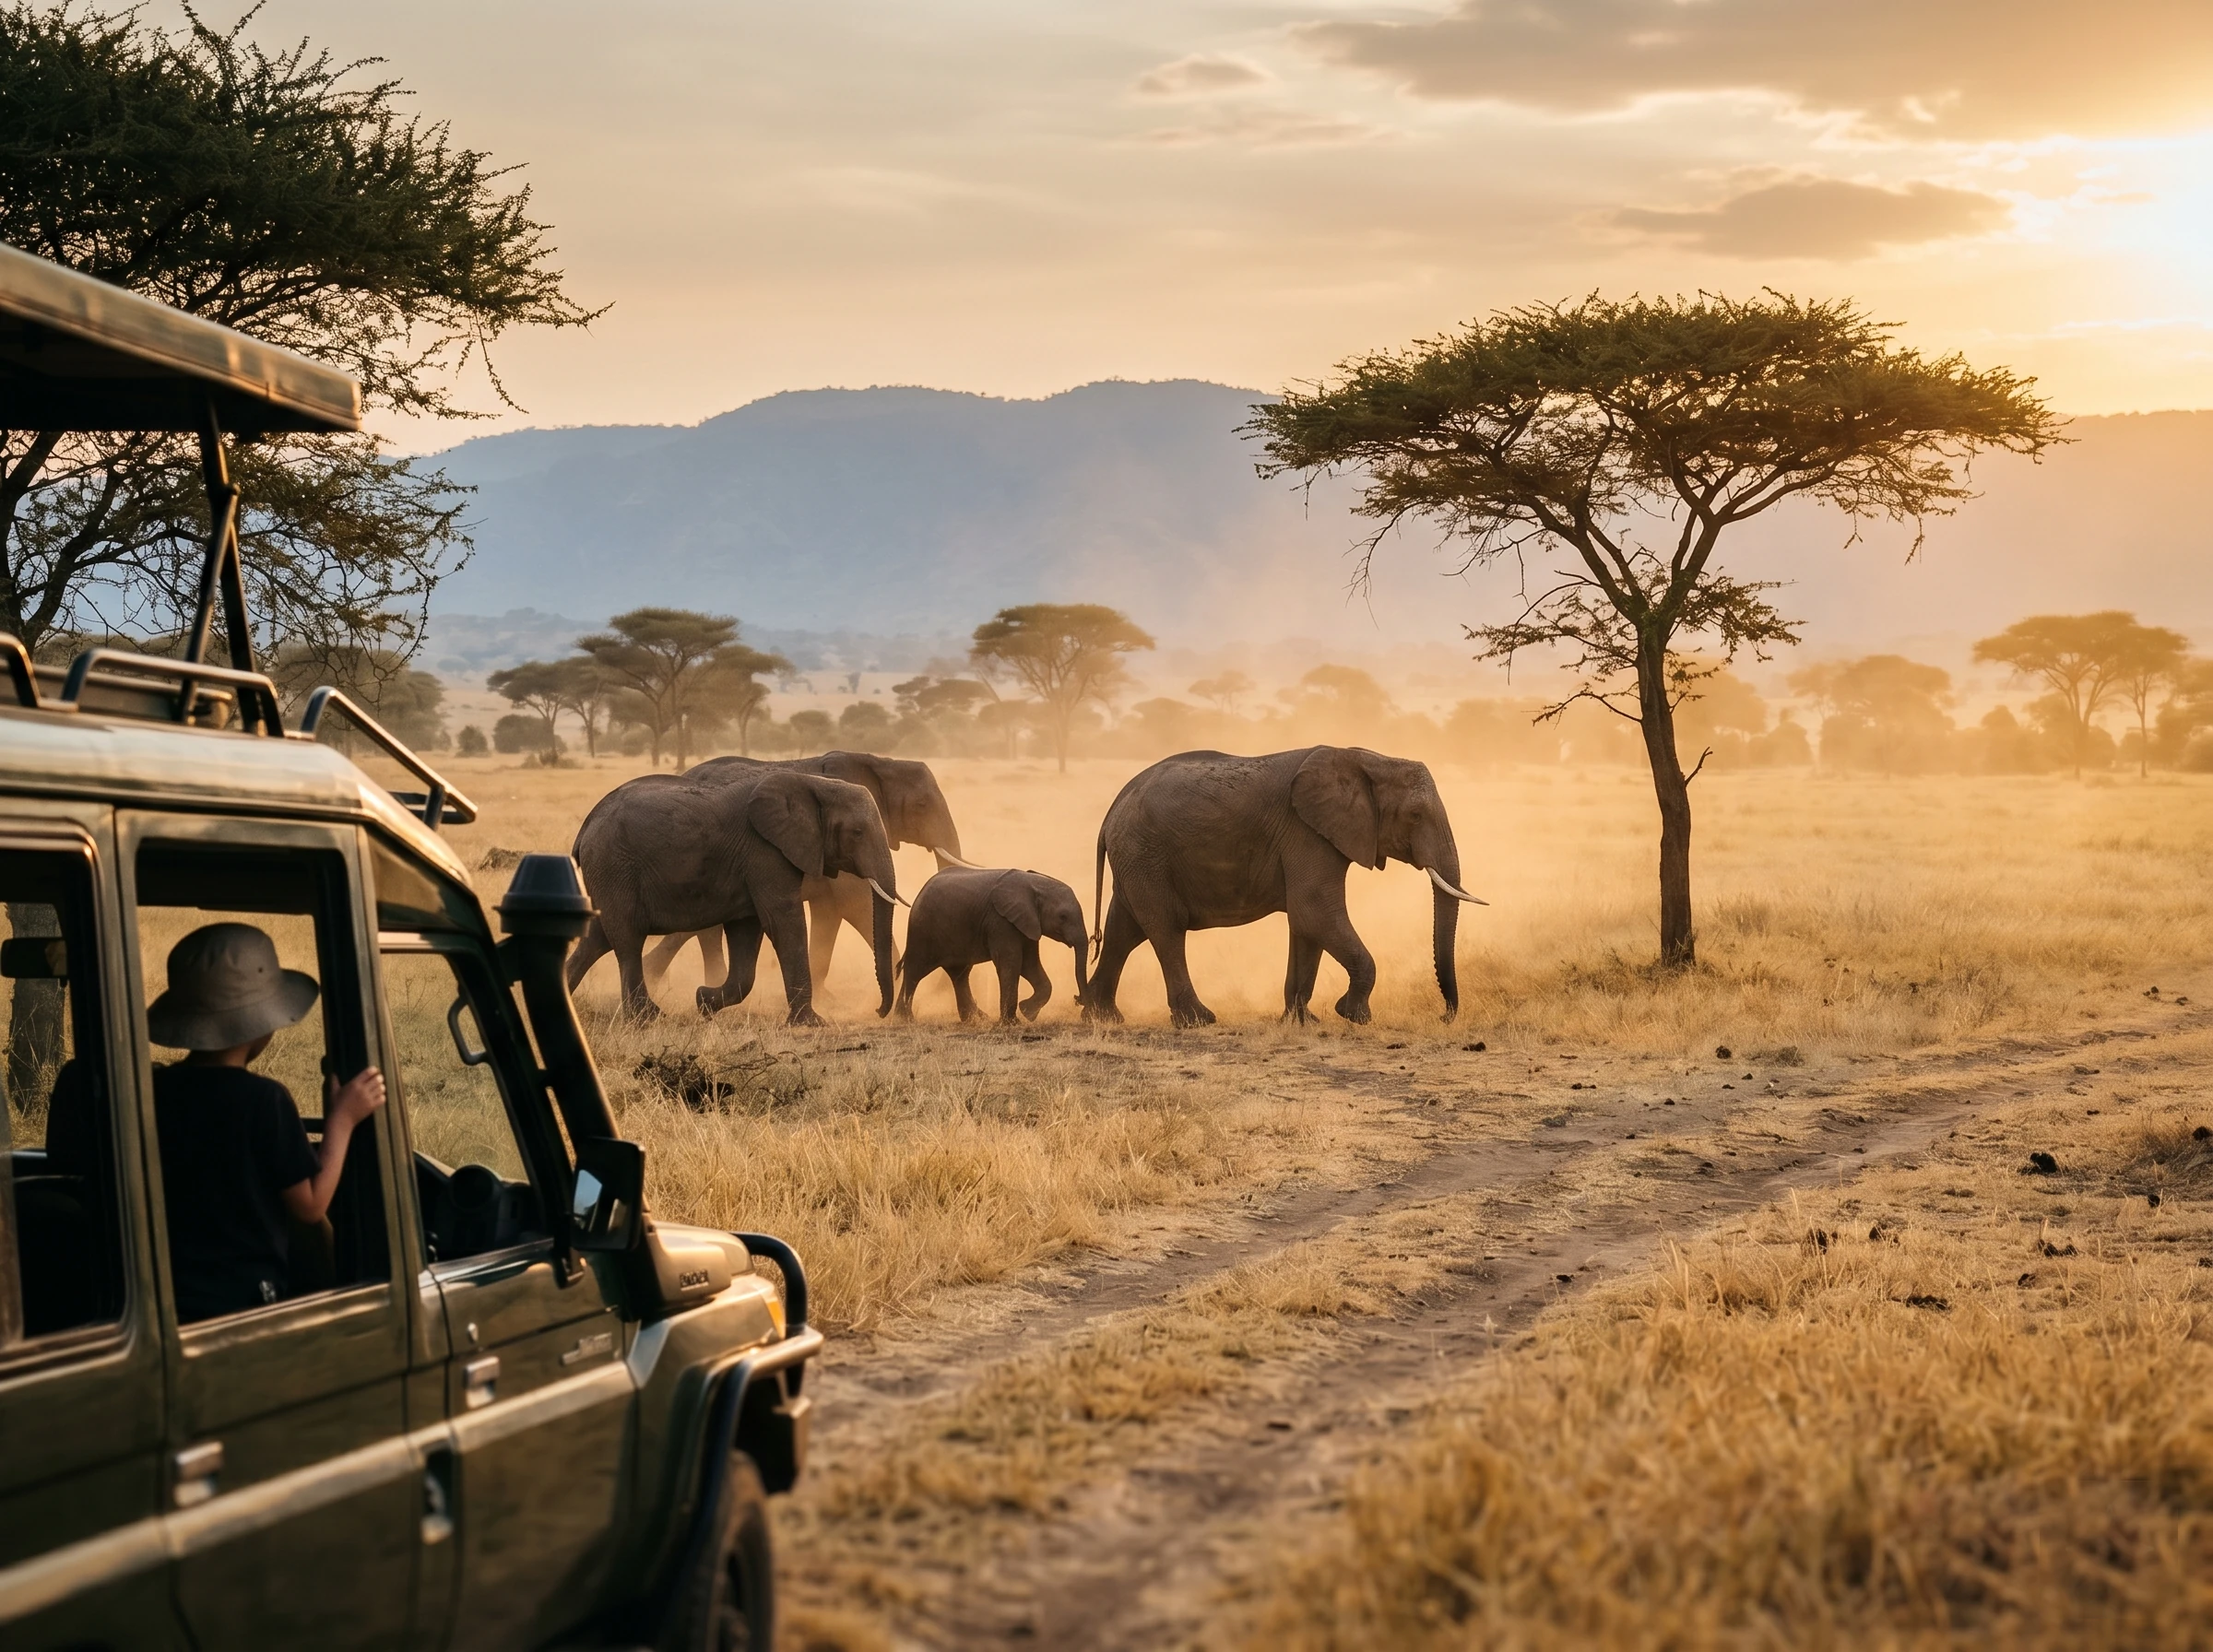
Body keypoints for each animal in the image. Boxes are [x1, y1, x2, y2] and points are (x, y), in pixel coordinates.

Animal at [567, 767, 900, 1025]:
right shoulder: (765, 852)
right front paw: (812, 1023)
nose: (878, 1011)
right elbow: (782, 922)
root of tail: (585, 827)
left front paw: (703, 1001)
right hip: (614, 868)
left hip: (607, 875)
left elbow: (747, 932)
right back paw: (648, 1019)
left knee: (597, 940)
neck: (814, 783)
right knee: (627, 941)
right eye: (857, 833)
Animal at [638, 751, 971, 997]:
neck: (881, 761)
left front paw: (825, 996)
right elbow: (856, 904)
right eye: (921, 805)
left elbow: (829, 913)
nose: (939, 989)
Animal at [894, 868, 1090, 1025]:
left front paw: (1027, 1012)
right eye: (1063, 917)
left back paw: (975, 1019)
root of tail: (921, 891)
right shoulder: (1001, 921)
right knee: (915, 971)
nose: (1078, 999)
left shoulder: (1027, 924)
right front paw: (1012, 1022)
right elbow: (1011, 963)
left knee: (959, 974)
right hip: (922, 930)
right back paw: (906, 1019)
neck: (1033, 884)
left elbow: (1029, 964)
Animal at [1085, 746, 1485, 1028]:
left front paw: (1302, 1021)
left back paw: (1101, 1016)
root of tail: (1111, 812)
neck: (1370, 759)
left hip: (1136, 859)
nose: (1444, 1017)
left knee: (1124, 930)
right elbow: (1315, 912)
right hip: (1145, 855)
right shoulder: (1307, 833)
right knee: (1166, 929)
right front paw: (1354, 1016)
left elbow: (1306, 925)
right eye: (1415, 816)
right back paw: (1198, 1021)